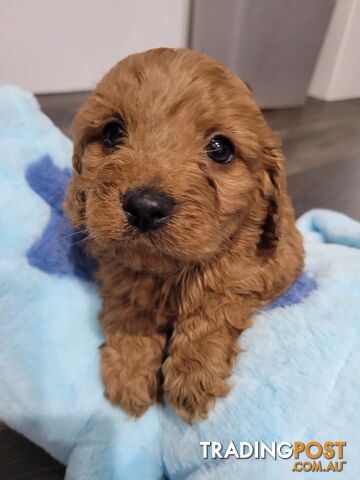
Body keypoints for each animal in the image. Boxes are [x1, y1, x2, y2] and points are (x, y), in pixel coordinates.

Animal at [64, 47, 304, 424]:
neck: (169, 272)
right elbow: (128, 310)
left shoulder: (278, 262)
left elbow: (218, 300)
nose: (145, 207)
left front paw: (194, 374)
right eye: (112, 133)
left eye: (220, 148)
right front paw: (129, 371)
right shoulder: (118, 276)